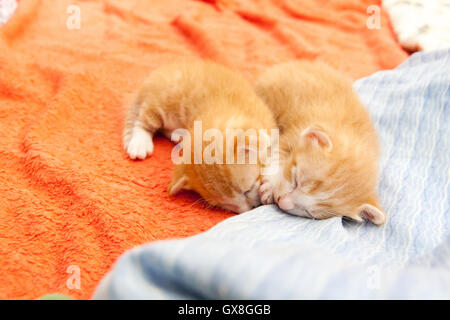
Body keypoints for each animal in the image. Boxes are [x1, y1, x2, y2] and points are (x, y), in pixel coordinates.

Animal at [124, 61, 278, 214]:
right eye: (224, 205)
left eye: (247, 190)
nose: (248, 210)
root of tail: (155, 76)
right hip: (160, 102)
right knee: (143, 121)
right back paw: (140, 144)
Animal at [255, 60, 384, 225]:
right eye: (296, 180)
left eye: (310, 213)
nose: (282, 203)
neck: (351, 134)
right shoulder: (294, 131)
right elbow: (277, 152)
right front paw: (270, 185)